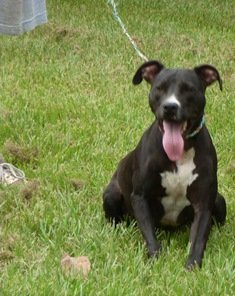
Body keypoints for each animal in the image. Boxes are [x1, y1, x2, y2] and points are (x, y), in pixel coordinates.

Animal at [102, 59, 226, 268]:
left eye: (189, 89)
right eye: (159, 88)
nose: (170, 107)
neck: (181, 153)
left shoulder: (204, 203)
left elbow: (199, 239)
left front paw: (192, 266)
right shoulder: (140, 196)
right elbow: (149, 234)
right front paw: (155, 259)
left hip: (219, 200)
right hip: (111, 194)